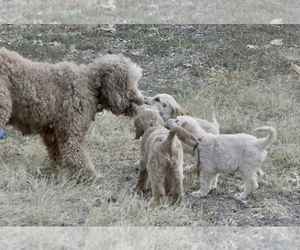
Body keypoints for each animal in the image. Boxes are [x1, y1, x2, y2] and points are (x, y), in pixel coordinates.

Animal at [0, 47, 144, 180]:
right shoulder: (71, 131)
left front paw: (61, 167)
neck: (91, 84)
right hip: (3, 108)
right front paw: (90, 176)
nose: (141, 101)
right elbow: (77, 156)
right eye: (129, 82)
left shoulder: (52, 132)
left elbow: (57, 151)